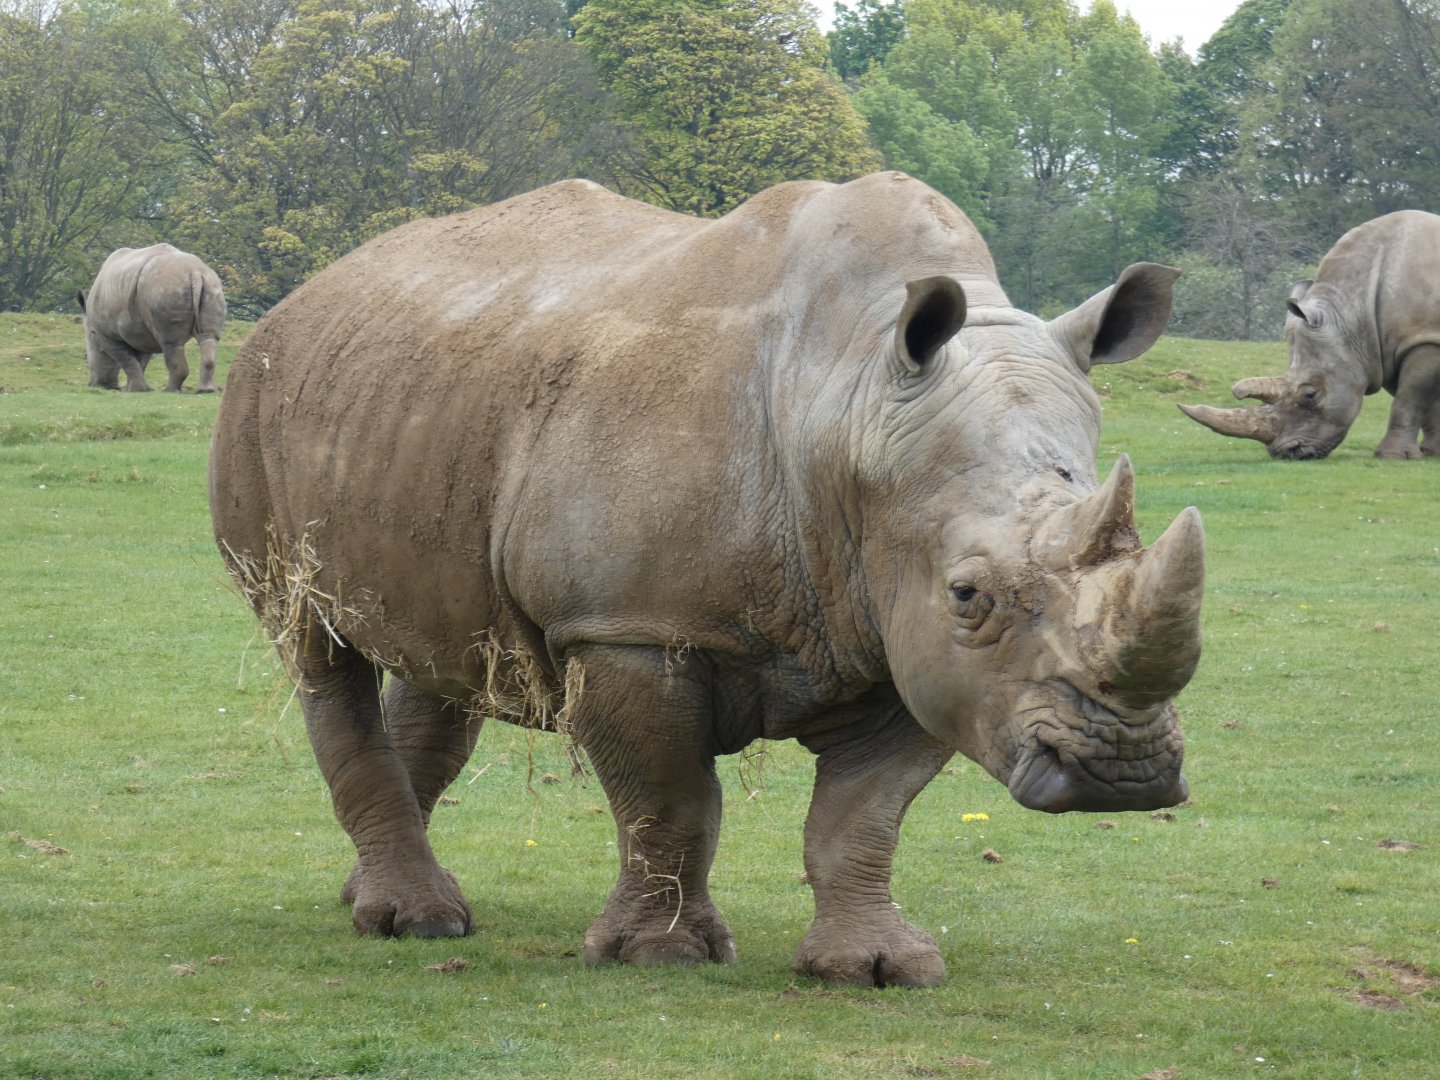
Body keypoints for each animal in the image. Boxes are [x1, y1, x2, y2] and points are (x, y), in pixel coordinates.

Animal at [79, 244, 226, 393]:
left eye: (86, 357)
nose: (102, 385)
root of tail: (195, 272)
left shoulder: (105, 335)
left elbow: (127, 360)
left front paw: (134, 390)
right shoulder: (142, 332)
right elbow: (139, 361)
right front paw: (139, 389)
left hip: (164, 289)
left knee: (170, 343)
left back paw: (170, 391)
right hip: (211, 286)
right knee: (208, 337)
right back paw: (206, 390)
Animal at [209, 172, 1204, 987]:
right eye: (971, 596)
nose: (1122, 773)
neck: (851, 403)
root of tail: (310, 290)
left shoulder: (909, 636)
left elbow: (862, 817)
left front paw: (878, 968)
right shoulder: (628, 625)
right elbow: (670, 800)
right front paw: (660, 956)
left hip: (417, 399)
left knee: (447, 657)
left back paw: (372, 900)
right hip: (258, 404)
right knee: (316, 650)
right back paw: (415, 923)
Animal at [1180, 211, 1440, 459]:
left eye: (1310, 396)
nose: (1288, 452)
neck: (1351, 312)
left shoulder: (1422, 340)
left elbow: (1408, 400)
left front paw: (1392, 456)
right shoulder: (1388, 349)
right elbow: (1424, 401)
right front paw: (1432, 452)